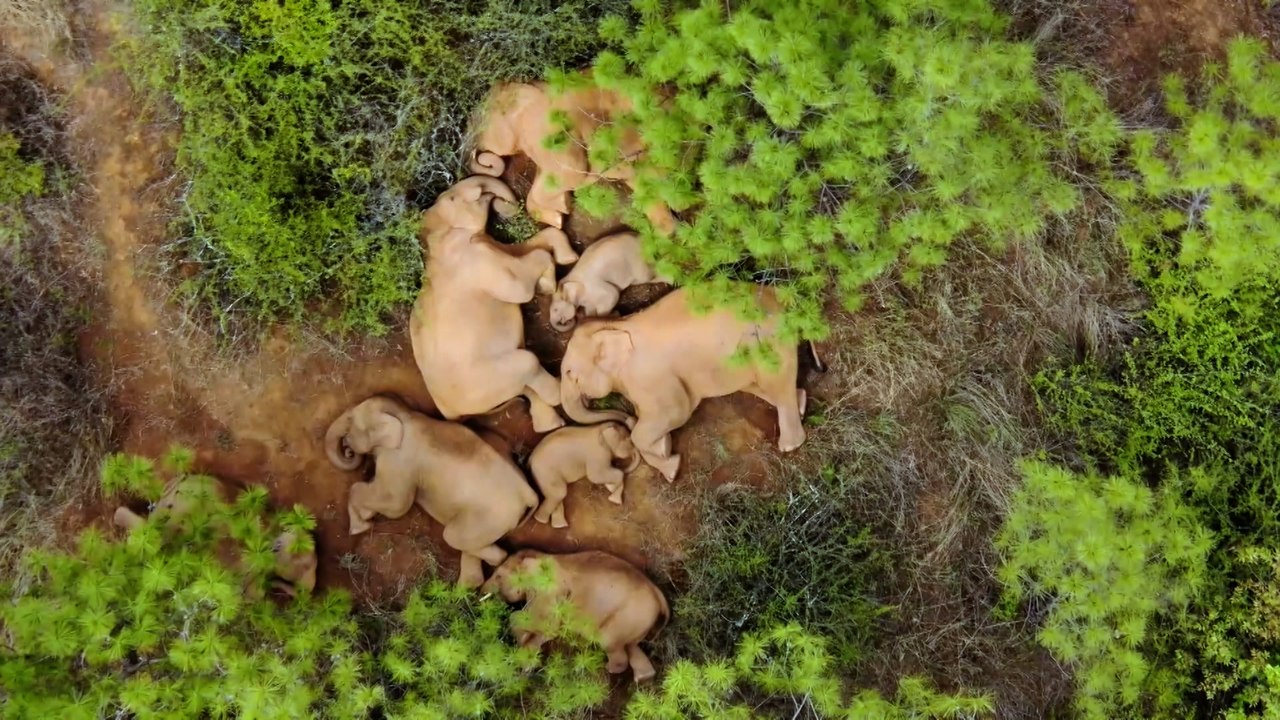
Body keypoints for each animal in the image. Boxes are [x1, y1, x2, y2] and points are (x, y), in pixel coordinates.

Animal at [325, 395, 539, 588]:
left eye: (350, 420)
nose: (348, 450)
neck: (405, 414)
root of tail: (528, 493)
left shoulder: (398, 459)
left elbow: (396, 505)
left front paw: (359, 527)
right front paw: (366, 517)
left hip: (489, 518)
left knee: (454, 538)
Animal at [410, 174, 579, 433]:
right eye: (452, 198)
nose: (504, 205)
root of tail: (451, 413)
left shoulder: (490, 245)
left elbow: (532, 245)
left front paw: (568, 261)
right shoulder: (477, 264)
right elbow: (521, 287)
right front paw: (548, 286)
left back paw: (551, 425)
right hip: (487, 379)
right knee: (528, 365)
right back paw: (562, 386)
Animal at [481, 549, 669, 683]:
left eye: (498, 575)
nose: (481, 590)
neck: (539, 556)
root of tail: (660, 596)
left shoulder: (550, 590)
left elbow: (543, 622)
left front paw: (523, 642)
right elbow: (549, 631)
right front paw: (528, 661)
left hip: (627, 616)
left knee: (610, 642)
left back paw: (597, 668)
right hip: (637, 623)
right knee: (631, 646)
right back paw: (643, 677)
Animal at [559, 285, 807, 481]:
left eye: (570, 373)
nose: (624, 419)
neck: (616, 324)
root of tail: (778, 298)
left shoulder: (651, 377)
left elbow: (676, 413)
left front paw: (670, 465)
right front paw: (664, 450)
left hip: (767, 344)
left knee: (774, 382)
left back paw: (790, 445)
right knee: (758, 385)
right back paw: (801, 402)